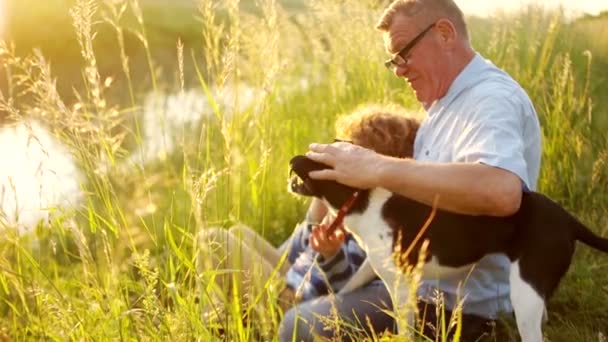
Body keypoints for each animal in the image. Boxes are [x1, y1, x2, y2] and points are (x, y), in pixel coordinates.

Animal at [288, 156, 608, 342]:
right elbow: (353, 281)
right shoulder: (376, 266)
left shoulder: (401, 287)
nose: (291, 166)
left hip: (525, 294)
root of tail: (568, 220)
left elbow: (404, 329)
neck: (359, 198)